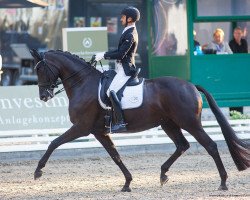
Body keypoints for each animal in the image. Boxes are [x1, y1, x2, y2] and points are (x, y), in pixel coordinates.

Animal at [29, 49, 250, 191]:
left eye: (40, 70)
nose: (43, 96)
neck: (83, 83)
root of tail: (191, 85)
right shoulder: (99, 131)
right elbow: (115, 156)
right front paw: (127, 183)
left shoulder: (82, 127)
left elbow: (54, 142)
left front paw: (38, 171)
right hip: (169, 123)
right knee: (182, 145)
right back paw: (163, 174)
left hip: (189, 123)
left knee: (210, 146)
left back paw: (223, 182)